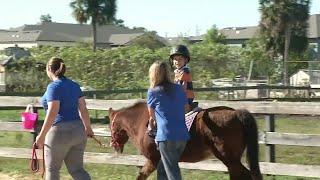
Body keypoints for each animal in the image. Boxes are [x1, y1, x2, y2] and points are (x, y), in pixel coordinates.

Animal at [108, 101, 262, 180]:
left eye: (110, 125)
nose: (113, 144)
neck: (143, 123)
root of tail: (236, 113)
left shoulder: (154, 159)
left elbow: (141, 176)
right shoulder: (163, 161)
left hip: (229, 159)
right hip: (231, 160)